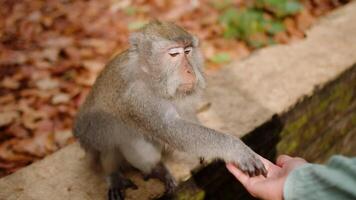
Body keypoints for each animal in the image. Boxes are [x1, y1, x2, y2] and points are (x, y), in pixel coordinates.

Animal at [73, 20, 268, 200]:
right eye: (174, 54)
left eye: (188, 51)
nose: (190, 71)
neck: (152, 80)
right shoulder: (138, 97)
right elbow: (170, 129)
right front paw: (236, 149)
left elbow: (186, 114)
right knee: (119, 135)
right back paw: (123, 172)